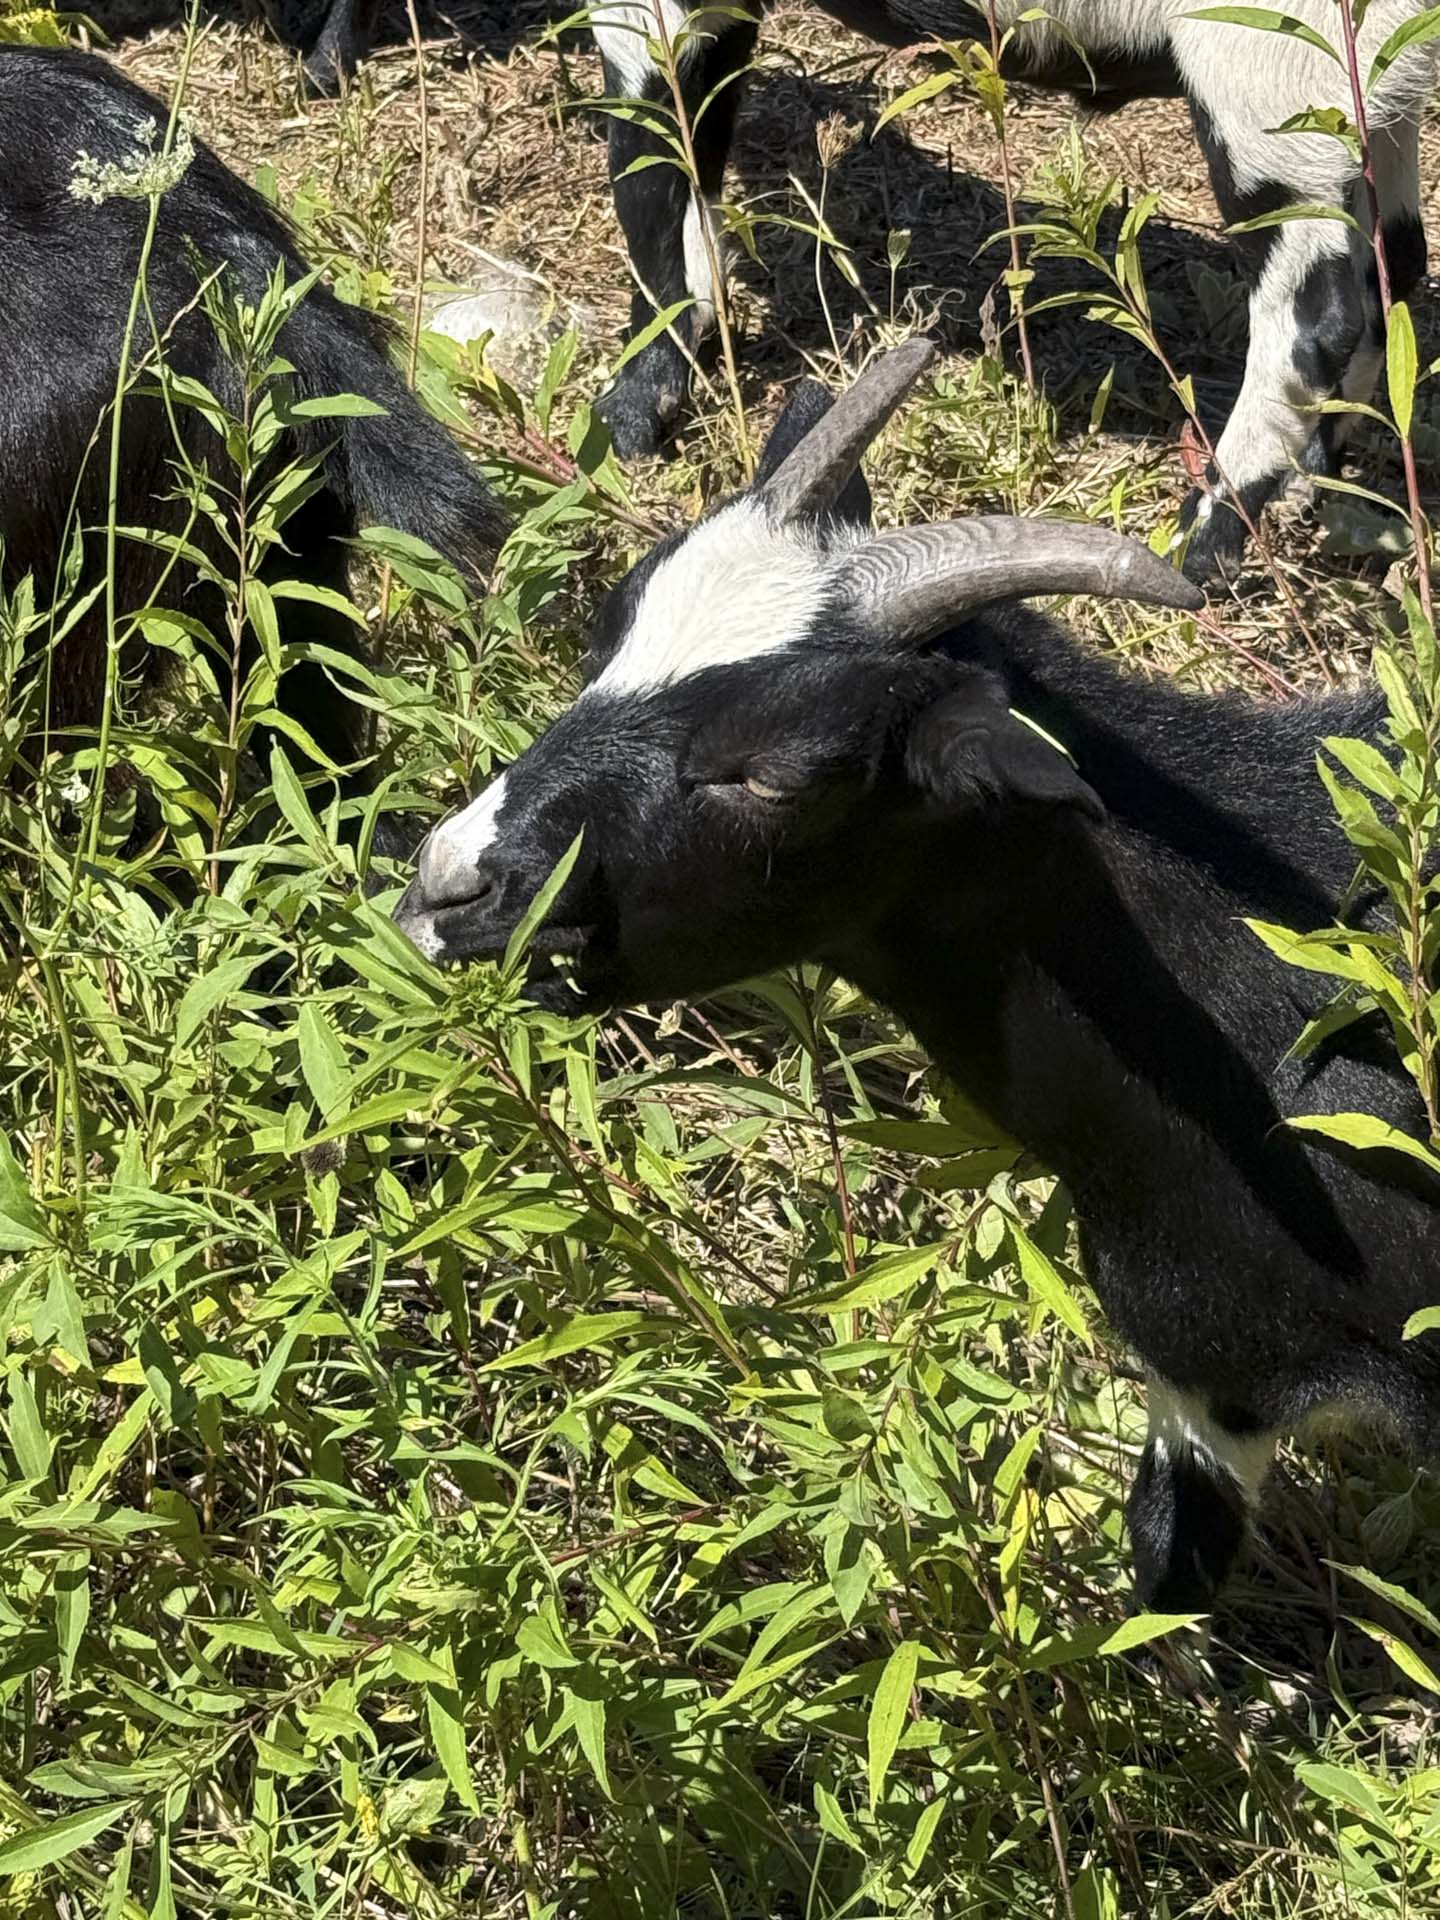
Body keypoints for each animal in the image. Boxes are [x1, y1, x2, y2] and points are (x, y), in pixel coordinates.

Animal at [590, 0, 1437, 582]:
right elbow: (690, 150)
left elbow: (648, 165)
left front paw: (626, 420)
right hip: (1364, 90)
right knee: (1394, 265)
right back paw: (1310, 483)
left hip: (1269, 74)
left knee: (1315, 318)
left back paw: (1199, 540)